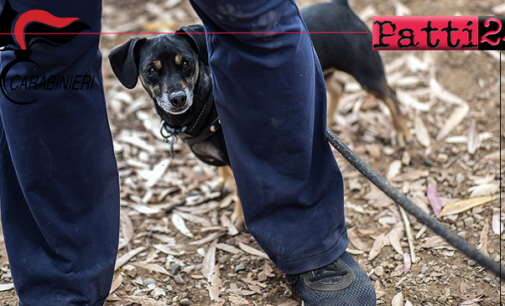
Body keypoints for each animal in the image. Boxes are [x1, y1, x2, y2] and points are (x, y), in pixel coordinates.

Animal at [109, 0, 410, 230]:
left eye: (187, 64)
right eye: (151, 70)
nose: (178, 98)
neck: (204, 104)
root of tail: (340, 5)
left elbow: (243, 192)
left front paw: (240, 217)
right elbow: (226, 174)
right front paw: (223, 182)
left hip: (366, 72)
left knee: (391, 95)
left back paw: (401, 133)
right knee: (336, 88)